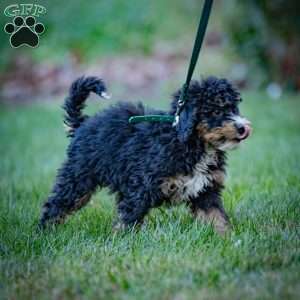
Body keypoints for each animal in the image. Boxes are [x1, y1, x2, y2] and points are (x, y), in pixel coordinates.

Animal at [39, 75, 251, 234]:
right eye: (215, 111)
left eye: (234, 108)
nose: (242, 128)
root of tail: (83, 123)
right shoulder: (143, 185)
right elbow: (129, 216)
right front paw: (120, 241)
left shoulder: (206, 189)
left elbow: (216, 216)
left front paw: (227, 238)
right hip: (79, 176)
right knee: (58, 203)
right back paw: (44, 232)